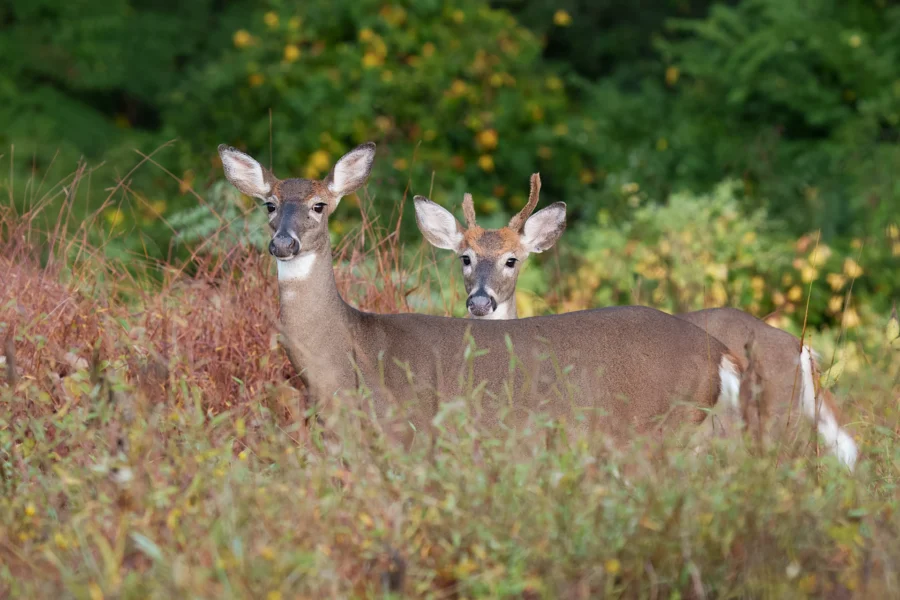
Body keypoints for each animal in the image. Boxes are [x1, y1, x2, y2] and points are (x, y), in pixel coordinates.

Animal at [218, 141, 746, 450]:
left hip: (653, 427)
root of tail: (720, 354)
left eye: (319, 206)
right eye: (269, 204)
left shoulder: (409, 432)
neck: (348, 355)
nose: (284, 243)